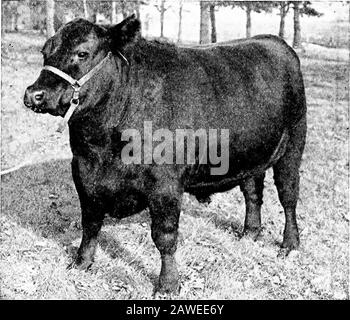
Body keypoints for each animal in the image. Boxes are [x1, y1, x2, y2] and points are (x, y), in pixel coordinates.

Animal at [23, 15, 306, 296]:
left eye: (82, 53)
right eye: (45, 51)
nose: (35, 94)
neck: (103, 146)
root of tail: (272, 40)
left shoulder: (165, 184)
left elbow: (164, 237)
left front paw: (168, 284)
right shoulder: (83, 174)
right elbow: (90, 224)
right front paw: (81, 263)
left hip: (293, 145)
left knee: (288, 197)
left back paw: (289, 244)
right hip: (252, 153)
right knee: (252, 192)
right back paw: (250, 233)